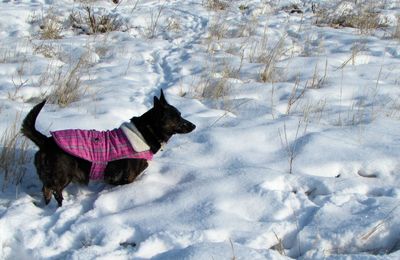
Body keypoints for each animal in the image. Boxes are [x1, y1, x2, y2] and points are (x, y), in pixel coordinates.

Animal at [21, 90, 195, 206]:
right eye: (176, 117)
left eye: (180, 114)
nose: (194, 125)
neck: (146, 131)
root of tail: (46, 141)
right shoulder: (128, 178)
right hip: (62, 175)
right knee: (52, 189)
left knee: (47, 190)